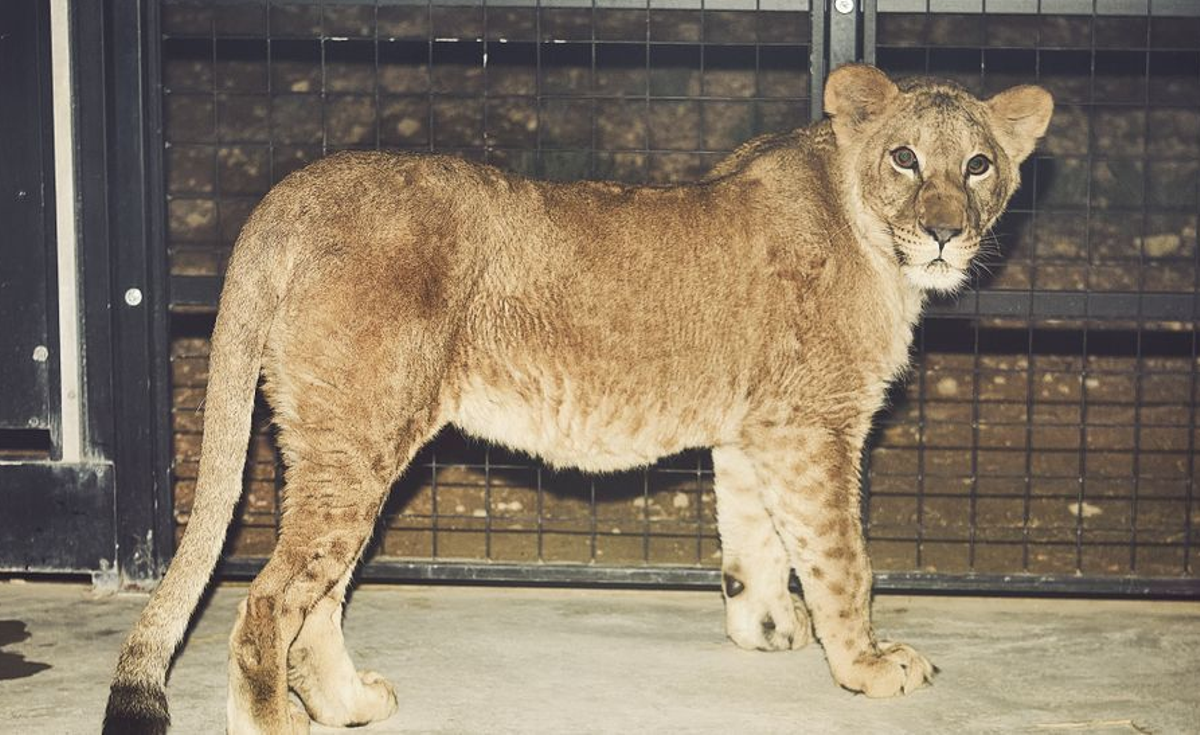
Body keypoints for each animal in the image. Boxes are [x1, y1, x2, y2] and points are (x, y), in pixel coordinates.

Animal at [108, 66, 1056, 730]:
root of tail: (295, 194)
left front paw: (765, 629)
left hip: (340, 439)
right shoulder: (816, 426)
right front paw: (866, 664)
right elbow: (841, 558)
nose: (944, 231)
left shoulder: (756, 429)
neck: (872, 237)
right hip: (360, 435)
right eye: (906, 157)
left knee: (320, 594)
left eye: (978, 165)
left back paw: (349, 704)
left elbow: (755, 540)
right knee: (271, 599)